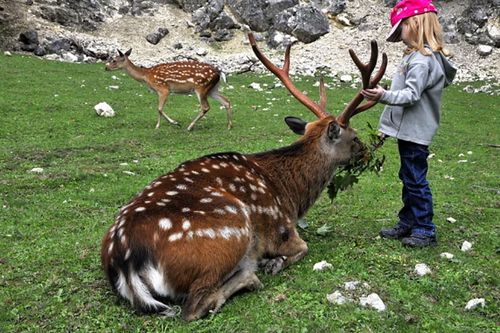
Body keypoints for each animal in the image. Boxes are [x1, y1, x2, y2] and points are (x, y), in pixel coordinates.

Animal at [100, 33, 386, 320]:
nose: (368, 152)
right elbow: (303, 248)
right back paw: (251, 275)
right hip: (229, 233)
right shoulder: (282, 230)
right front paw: (274, 262)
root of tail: (125, 260)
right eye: (355, 137)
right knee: (195, 306)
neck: (292, 196)